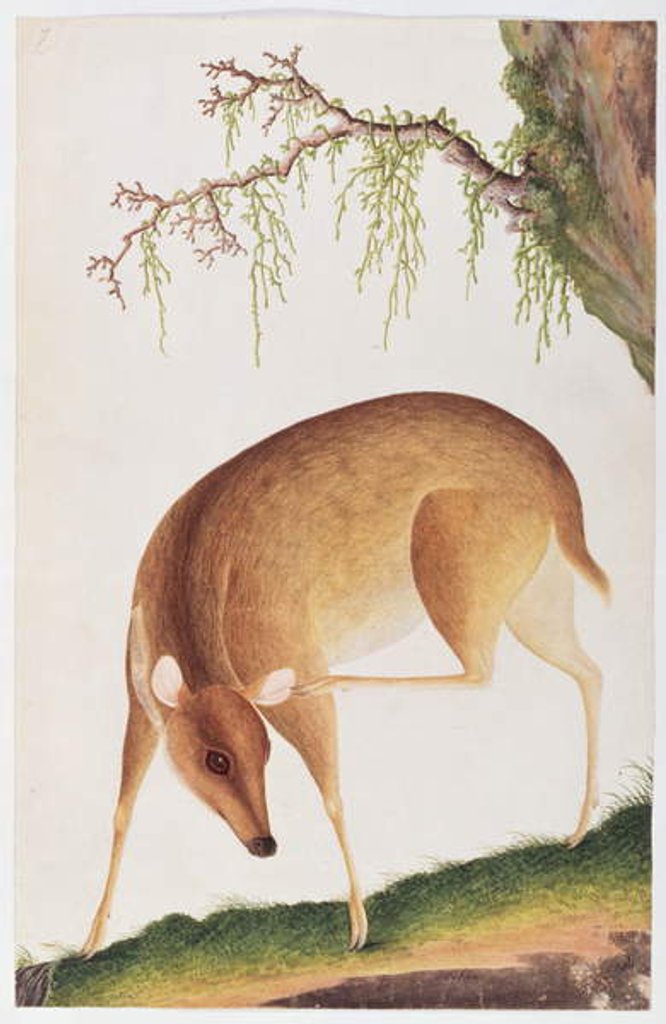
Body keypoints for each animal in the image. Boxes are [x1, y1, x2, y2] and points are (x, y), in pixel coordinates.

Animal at [82, 391, 608, 957]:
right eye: (216, 760)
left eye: (265, 754)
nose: (266, 844)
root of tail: (562, 487)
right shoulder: (141, 702)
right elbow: (122, 808)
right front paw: (90, 941)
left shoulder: (281, 653)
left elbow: (332, 793)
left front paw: (358, 925)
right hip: (535, 590)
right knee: (588, 670)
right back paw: (579, 828)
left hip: (456, 556)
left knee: (481, 670)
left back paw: (336, 681)